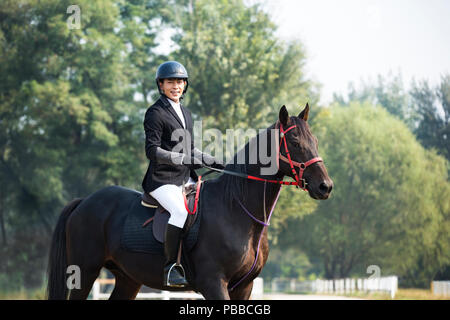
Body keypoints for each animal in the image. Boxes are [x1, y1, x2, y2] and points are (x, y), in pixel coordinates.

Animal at [47, 104, 332, 300]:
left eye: (316, 141)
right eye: (294, 142)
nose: (325, 186)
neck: (236, 209)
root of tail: (85, 201)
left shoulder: (244, 286)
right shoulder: (214, 283)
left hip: (127, 278)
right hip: (84, 272)